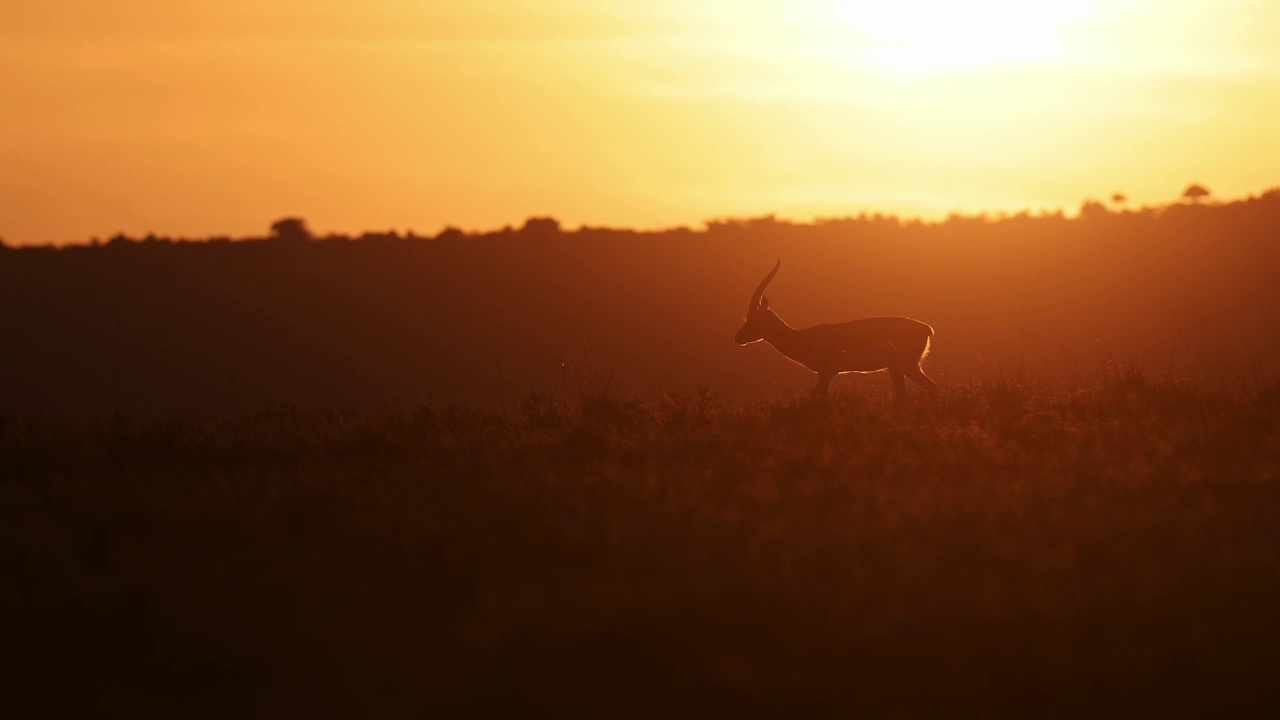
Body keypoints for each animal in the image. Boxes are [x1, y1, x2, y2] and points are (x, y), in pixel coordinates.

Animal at [737, 257, 936, 399]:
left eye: (753, 319)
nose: (738, 337)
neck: (804, 338)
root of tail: (926, 328)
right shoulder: (826, 374)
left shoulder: (827, 373)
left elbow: (818, 400)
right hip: (896, 368)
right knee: (906, 396)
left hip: (906, 366)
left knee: (931, 387)